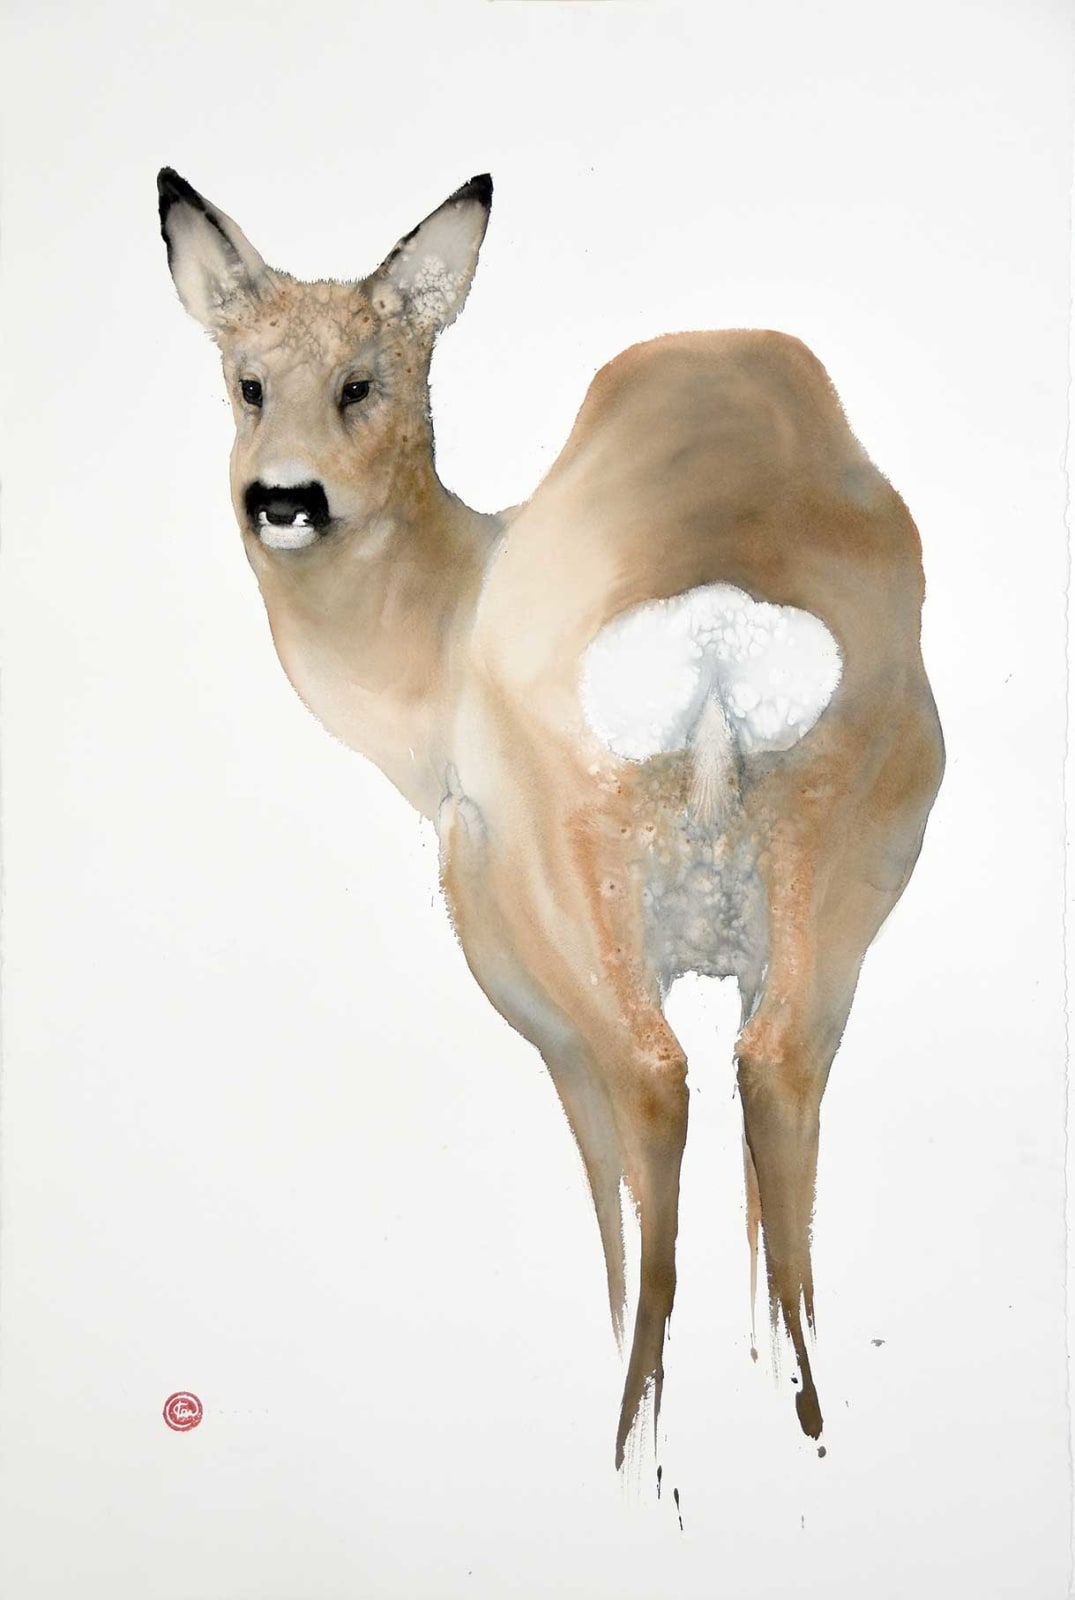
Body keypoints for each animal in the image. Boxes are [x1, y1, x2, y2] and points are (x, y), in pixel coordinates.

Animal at [157, 167, 944, 1469]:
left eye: (363, 378)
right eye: (247, 378)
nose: (283, 499)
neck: (437, 632)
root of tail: (716, 622)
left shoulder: (519, 979)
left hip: (563, 909)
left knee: (653, 1085)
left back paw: (635, 1449)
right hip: (834, 889)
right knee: (773, 1079)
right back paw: (801, 1425)